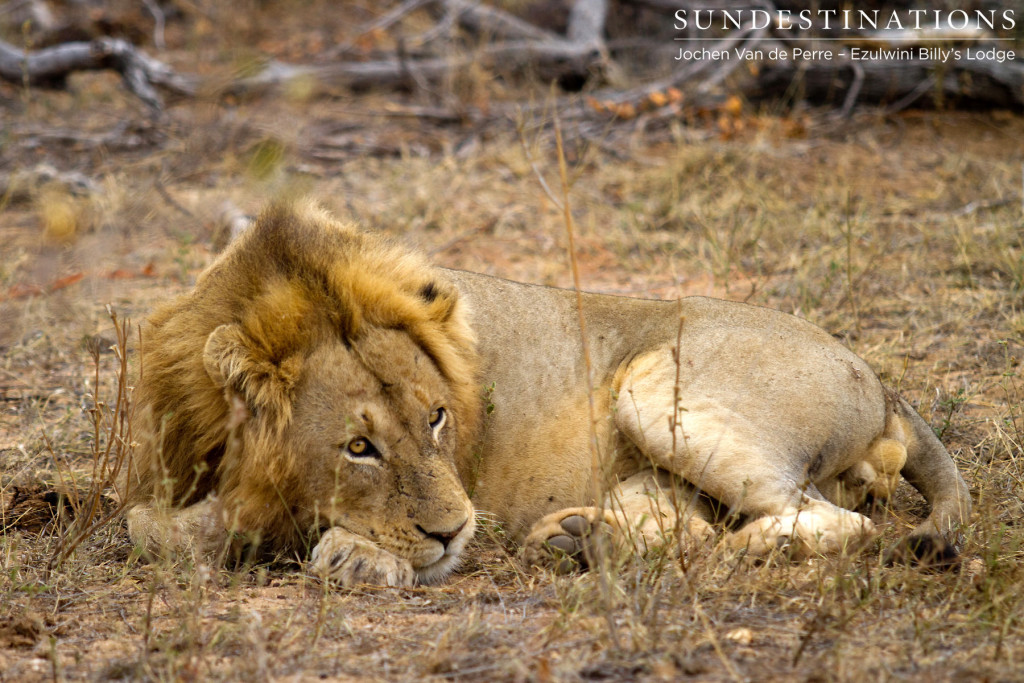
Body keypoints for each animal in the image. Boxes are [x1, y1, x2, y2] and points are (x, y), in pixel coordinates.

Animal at [123, 200, 970, 585]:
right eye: (359, 446)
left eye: (438, 418)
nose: (454, 531)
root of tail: (882, 380)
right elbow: (146, 524)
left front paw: (356, 555)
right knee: (694, 526)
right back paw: (580, 538)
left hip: (657, 386)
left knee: (834, 522)